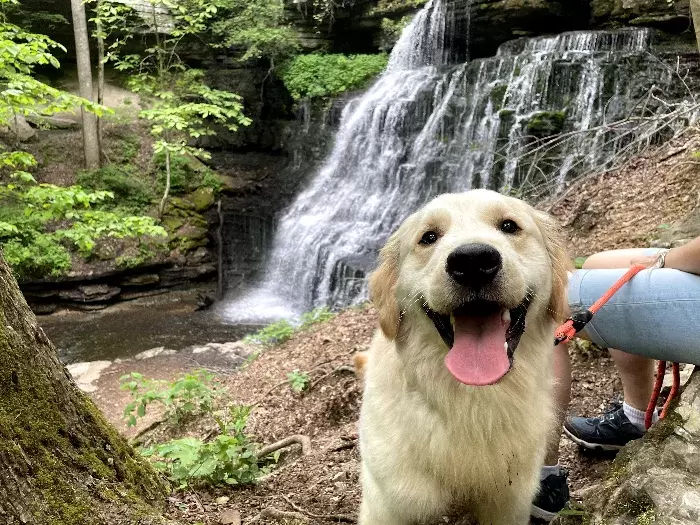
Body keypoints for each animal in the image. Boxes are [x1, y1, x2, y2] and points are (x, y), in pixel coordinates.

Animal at [358, 189, 568, 524]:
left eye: (509, 226)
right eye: (429, 237)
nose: (473, 261)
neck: (472, 402)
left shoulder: (509, 504)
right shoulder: (389, 507)